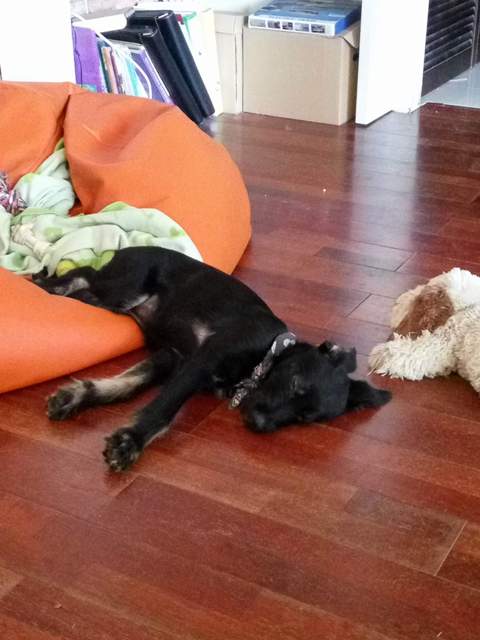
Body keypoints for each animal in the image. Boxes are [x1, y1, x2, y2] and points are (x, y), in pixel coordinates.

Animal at [33, 246, 391, 471]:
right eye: (294, 383)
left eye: (305, 418)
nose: (259, 424)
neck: (265, 355)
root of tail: (128, 248)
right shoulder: (203, 358)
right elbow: (164, 408)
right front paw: (131, 442)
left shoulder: (172, 359)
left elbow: (127, 384)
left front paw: (76, 396)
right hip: (123, 288)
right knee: (84, 273)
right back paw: (44, 283)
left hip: (111, 300)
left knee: (86, 285)